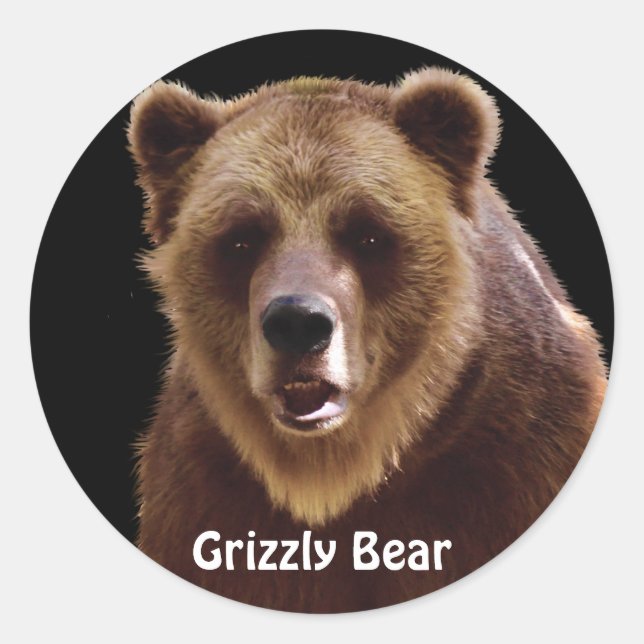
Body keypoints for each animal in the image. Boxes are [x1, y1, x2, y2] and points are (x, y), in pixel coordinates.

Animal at [127, 68, 607, 612]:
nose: (298, 323)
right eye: (241, 237)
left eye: (369, 234)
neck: (333, 474)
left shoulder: (515, 452)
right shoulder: (205, 488)